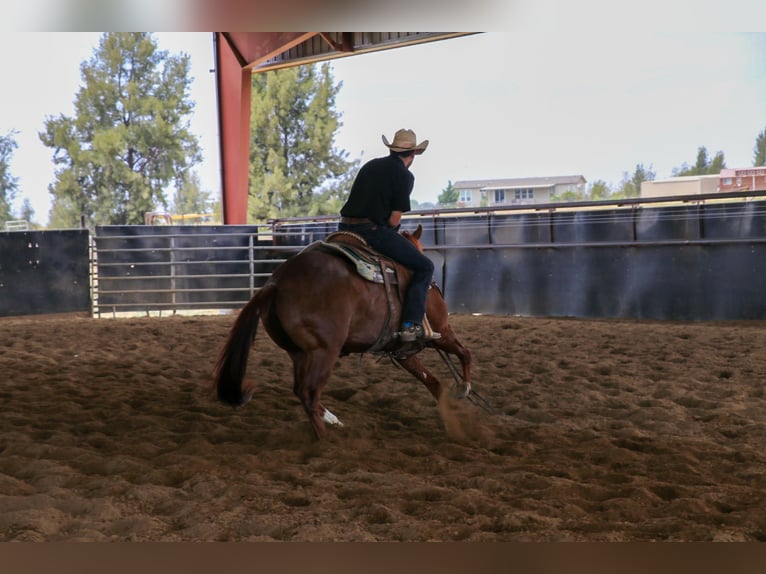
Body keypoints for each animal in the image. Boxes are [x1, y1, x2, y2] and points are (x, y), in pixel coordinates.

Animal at [213, 223, 473, 439]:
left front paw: (452, 424)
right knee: (309, 392)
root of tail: (275, 284)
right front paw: (463, 388)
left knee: (301, 390)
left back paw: (331, 420)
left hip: (299, 353)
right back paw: (324, 440)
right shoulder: (442, 331)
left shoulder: (403, 352)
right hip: (325, 351)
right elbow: (465, 353)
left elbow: (435, 383)